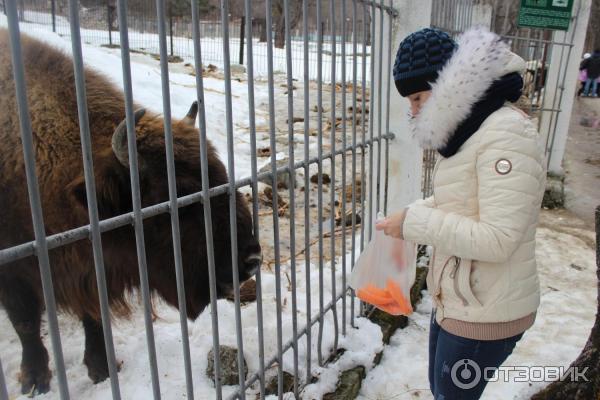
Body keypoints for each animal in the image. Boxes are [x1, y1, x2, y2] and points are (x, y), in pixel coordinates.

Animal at [0, 30, 262, 394]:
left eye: (222, 172)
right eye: (180, 193)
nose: (251, 259)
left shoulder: (92, 269)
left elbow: (93, 316)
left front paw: (102, 369)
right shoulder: (13, 275)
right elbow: (25, 323)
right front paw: (35, 381)